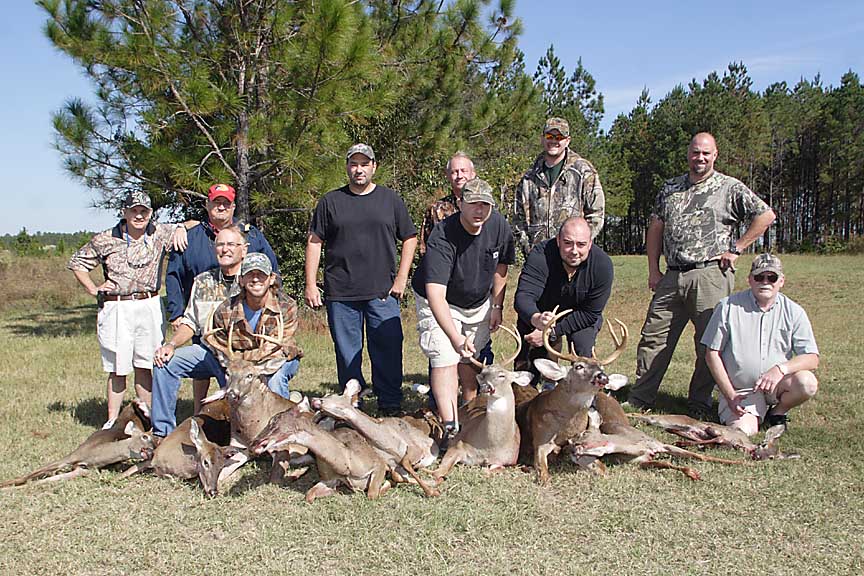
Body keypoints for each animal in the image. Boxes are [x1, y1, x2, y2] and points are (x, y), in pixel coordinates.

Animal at [0, 398, 154, 488]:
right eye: (144, 437)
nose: (153, 449)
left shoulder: (82, 470)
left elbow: (42, 481)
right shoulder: (70, 457)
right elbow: (28, 476)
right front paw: (4, 484)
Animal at [250, 398, 392, 502]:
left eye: (273, 421)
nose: (254, 442)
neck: (346, 462)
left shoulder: (378, 463)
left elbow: (373, 494)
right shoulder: (329, 479)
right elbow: (309, 495)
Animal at [314, 380, 442, 498]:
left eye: (329, 396)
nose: (314, 400)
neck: (385, 441)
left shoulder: (414, 448)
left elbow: (406, 463)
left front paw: (432, 491)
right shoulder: (390, 463)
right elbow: (397, 475)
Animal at [432, 326, 532, 480]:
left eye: (502, 375)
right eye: (483, 374)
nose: (485, 386)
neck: (490, 445)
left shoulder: (508, 461)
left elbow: (490, 470)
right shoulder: (457, 446)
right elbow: (441, 470)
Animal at [512, 308, 628, 484]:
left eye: (601, 367)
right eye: (578, 366)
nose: (603, 377)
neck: (565, 427)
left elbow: (602, 468)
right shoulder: (540, 439)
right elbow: (543, 472)